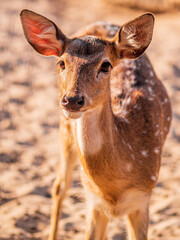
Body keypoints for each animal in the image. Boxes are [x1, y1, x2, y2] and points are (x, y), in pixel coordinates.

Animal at [20, 9, 172, 240]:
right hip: (64, 130)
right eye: (61, 63)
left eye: (106, 65)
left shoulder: (143, 197)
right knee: (59, 186)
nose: (72, 100)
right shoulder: (93, 202)